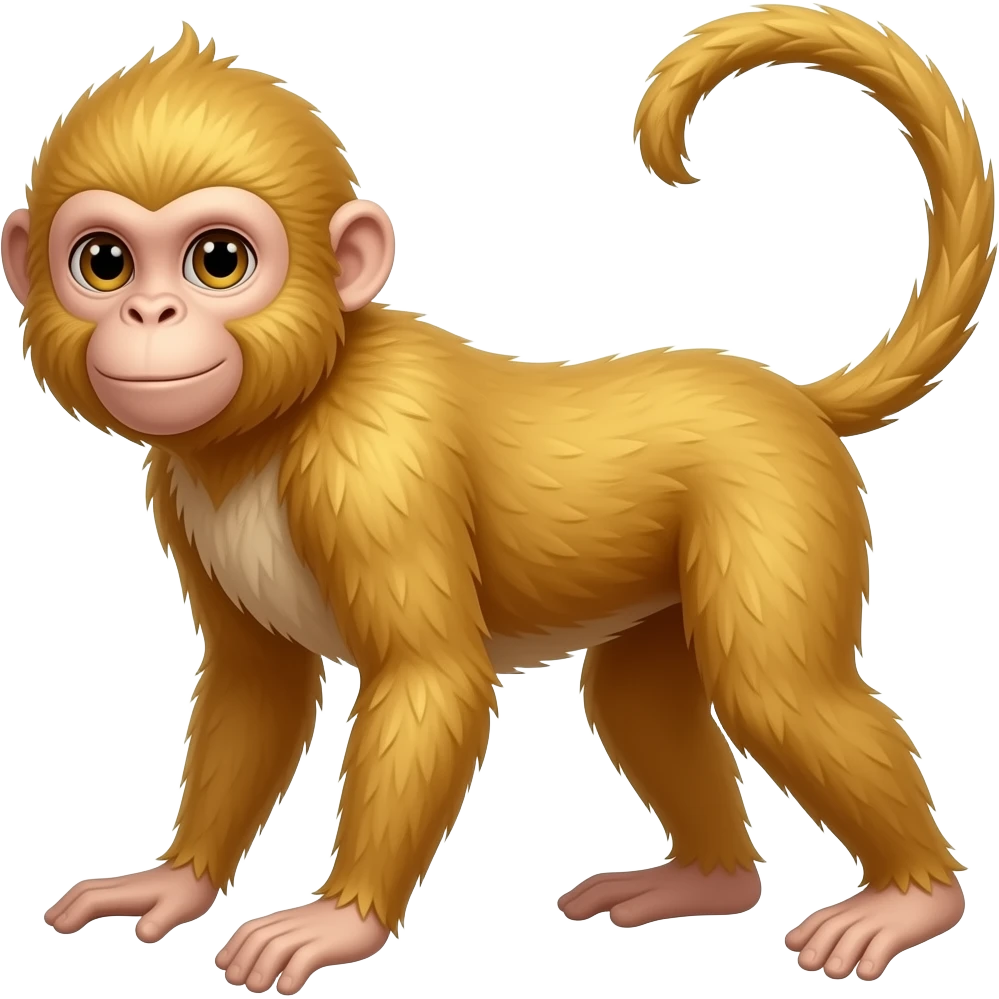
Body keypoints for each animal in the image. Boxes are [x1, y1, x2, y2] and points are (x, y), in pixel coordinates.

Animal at [3, 4, 991, 991]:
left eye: (217, 261)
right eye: (105, 263)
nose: (150, 316)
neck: (277, 421)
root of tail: (788, 396)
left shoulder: (373, 459)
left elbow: (431, 676)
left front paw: (338, 919)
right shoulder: (175, 486)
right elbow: (257, 680)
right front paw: (174, 882)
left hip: (776, 492)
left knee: (772, 686)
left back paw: (913, 899)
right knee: (635, 697)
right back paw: (708, 881)